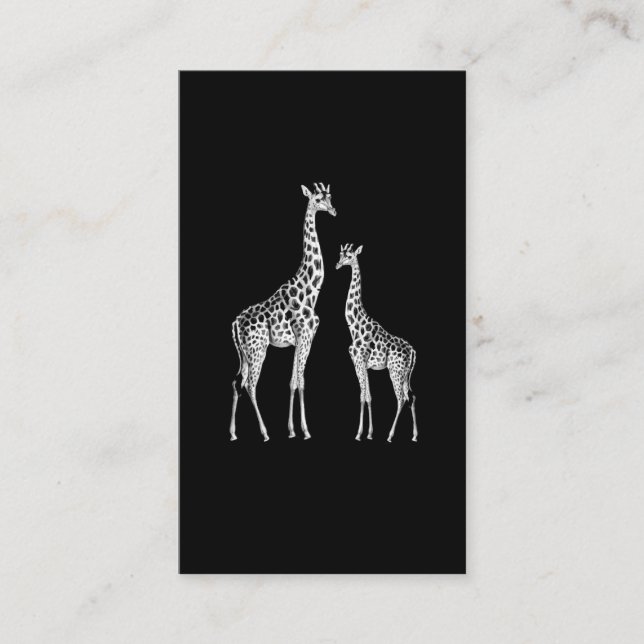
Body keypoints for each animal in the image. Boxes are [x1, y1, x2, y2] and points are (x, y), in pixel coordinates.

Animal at [229, 183, 336, 441]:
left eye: (330, 197)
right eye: (317, 199)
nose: (333, 210)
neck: (310, 290)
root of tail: (235, 323)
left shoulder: (298, 341)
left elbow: (292, 382)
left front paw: (292, 429)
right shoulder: (306, 336)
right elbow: (302, 380)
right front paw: (305, 430)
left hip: (244, 353)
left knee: (237, 381)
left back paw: (233, 433)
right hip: (257, 349)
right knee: (250, 384)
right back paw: (265, 432)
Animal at [336, 244, 418, 442]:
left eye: (349, 256)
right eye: (340, 254)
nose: (338, 264)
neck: (355, 325)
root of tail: (413, 351)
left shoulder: (358, 360)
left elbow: (361, 395)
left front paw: (359, 434)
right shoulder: (365, 364)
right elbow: (369, 396)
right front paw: (369, 433)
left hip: (395, 371)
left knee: (401, 398)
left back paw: (390, 435)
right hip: (406, 373)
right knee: (411, 396)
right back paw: (414, 435)